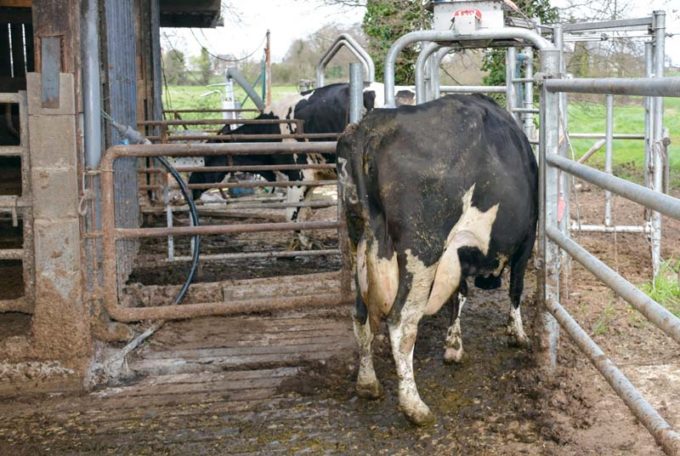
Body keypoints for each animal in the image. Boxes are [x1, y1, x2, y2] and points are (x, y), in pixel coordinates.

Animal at [338, 94, 540, 426]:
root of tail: (374, 124)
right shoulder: (527, 239)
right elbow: (516, 289)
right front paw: (518, 334)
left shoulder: (456, 254)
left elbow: (459, 295)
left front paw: (454, 346)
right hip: (422, 249)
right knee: (401, 322)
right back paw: (414, 406)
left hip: (358, 244)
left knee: (360, 316)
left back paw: (367, 384)